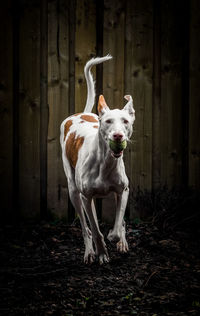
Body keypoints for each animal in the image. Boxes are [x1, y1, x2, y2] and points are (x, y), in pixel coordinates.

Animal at [60, 55, 136, 264]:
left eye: (125, 121)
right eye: (109, 121)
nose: (118, 136)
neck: (105, 162)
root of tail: (81, 112)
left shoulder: (123, 190)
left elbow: (118, 224)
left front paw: (116, 238)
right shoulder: (86, 198)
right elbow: (94, 229)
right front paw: (101, 253)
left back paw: (121, 242)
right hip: (73, 191)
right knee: (85, 228)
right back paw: (89, 252)